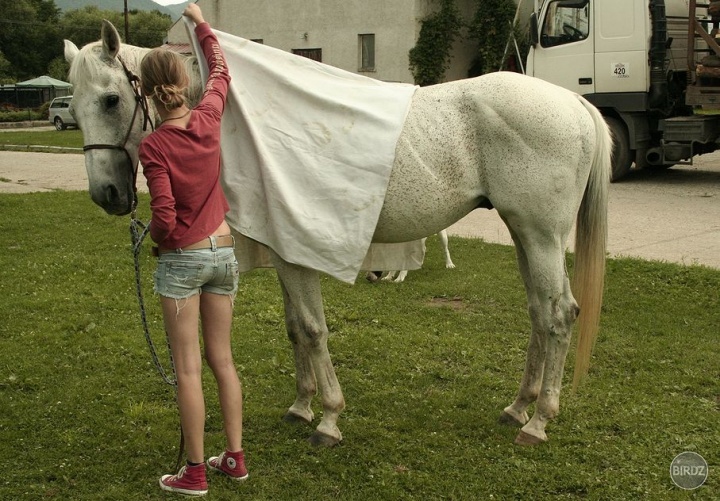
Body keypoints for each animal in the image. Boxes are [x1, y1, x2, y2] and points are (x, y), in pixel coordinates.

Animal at [64, 21, 612, 448]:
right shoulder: (284, 252)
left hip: (540, 236)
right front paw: (301, 406)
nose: (107, 193)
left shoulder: (294, 255)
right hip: (526, 235)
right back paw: (519, 407)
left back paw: (539, 422)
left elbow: (311, 328)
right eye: (75, 105)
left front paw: (327, 418)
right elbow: (293, 328)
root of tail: (573, 102)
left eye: (110, 100)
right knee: (540, 313)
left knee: (559, 314)